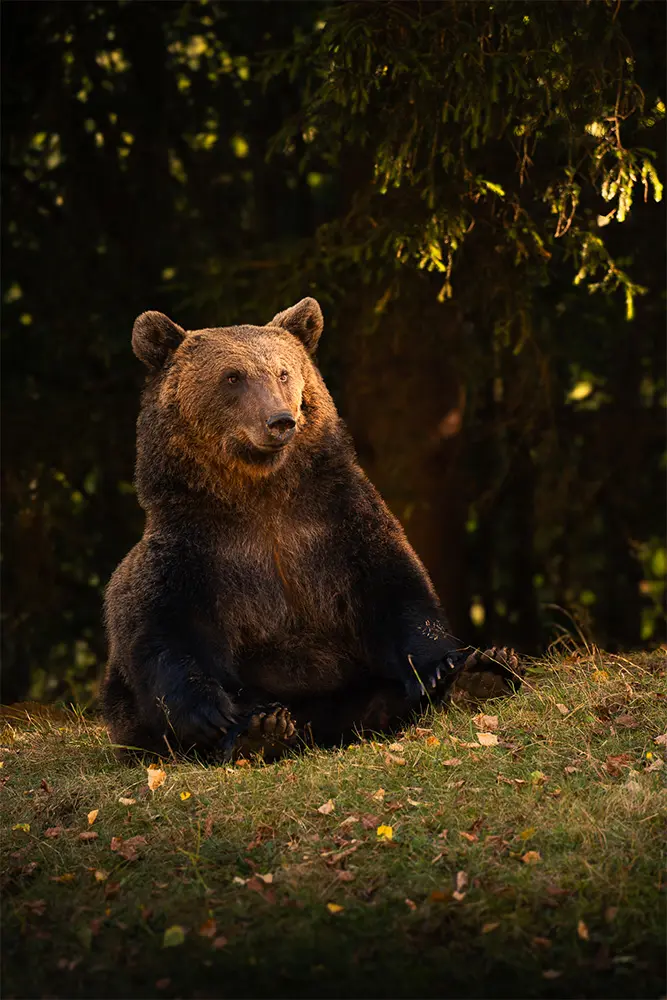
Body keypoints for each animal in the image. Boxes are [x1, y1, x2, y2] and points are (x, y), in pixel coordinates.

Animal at [101, 298, 520, 760]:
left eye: (283, 371)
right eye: (233, 376)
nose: (280, 420)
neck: (262, 497)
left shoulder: (337, 526)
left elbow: (400, 596)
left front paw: (460, 667)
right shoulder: (193, 551)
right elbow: (165, 633)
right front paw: (217, 715)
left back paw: (484, 676)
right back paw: (261, 730)